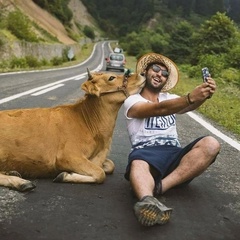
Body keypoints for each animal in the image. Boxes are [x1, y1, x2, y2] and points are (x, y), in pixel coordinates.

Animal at [0, 70, 145, 191]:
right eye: (111, 78)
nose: (142, 74)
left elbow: (110, 166)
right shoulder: (67, 156)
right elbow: (100, 173)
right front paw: (64, 175)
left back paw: (12, 172)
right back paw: (21, 182)